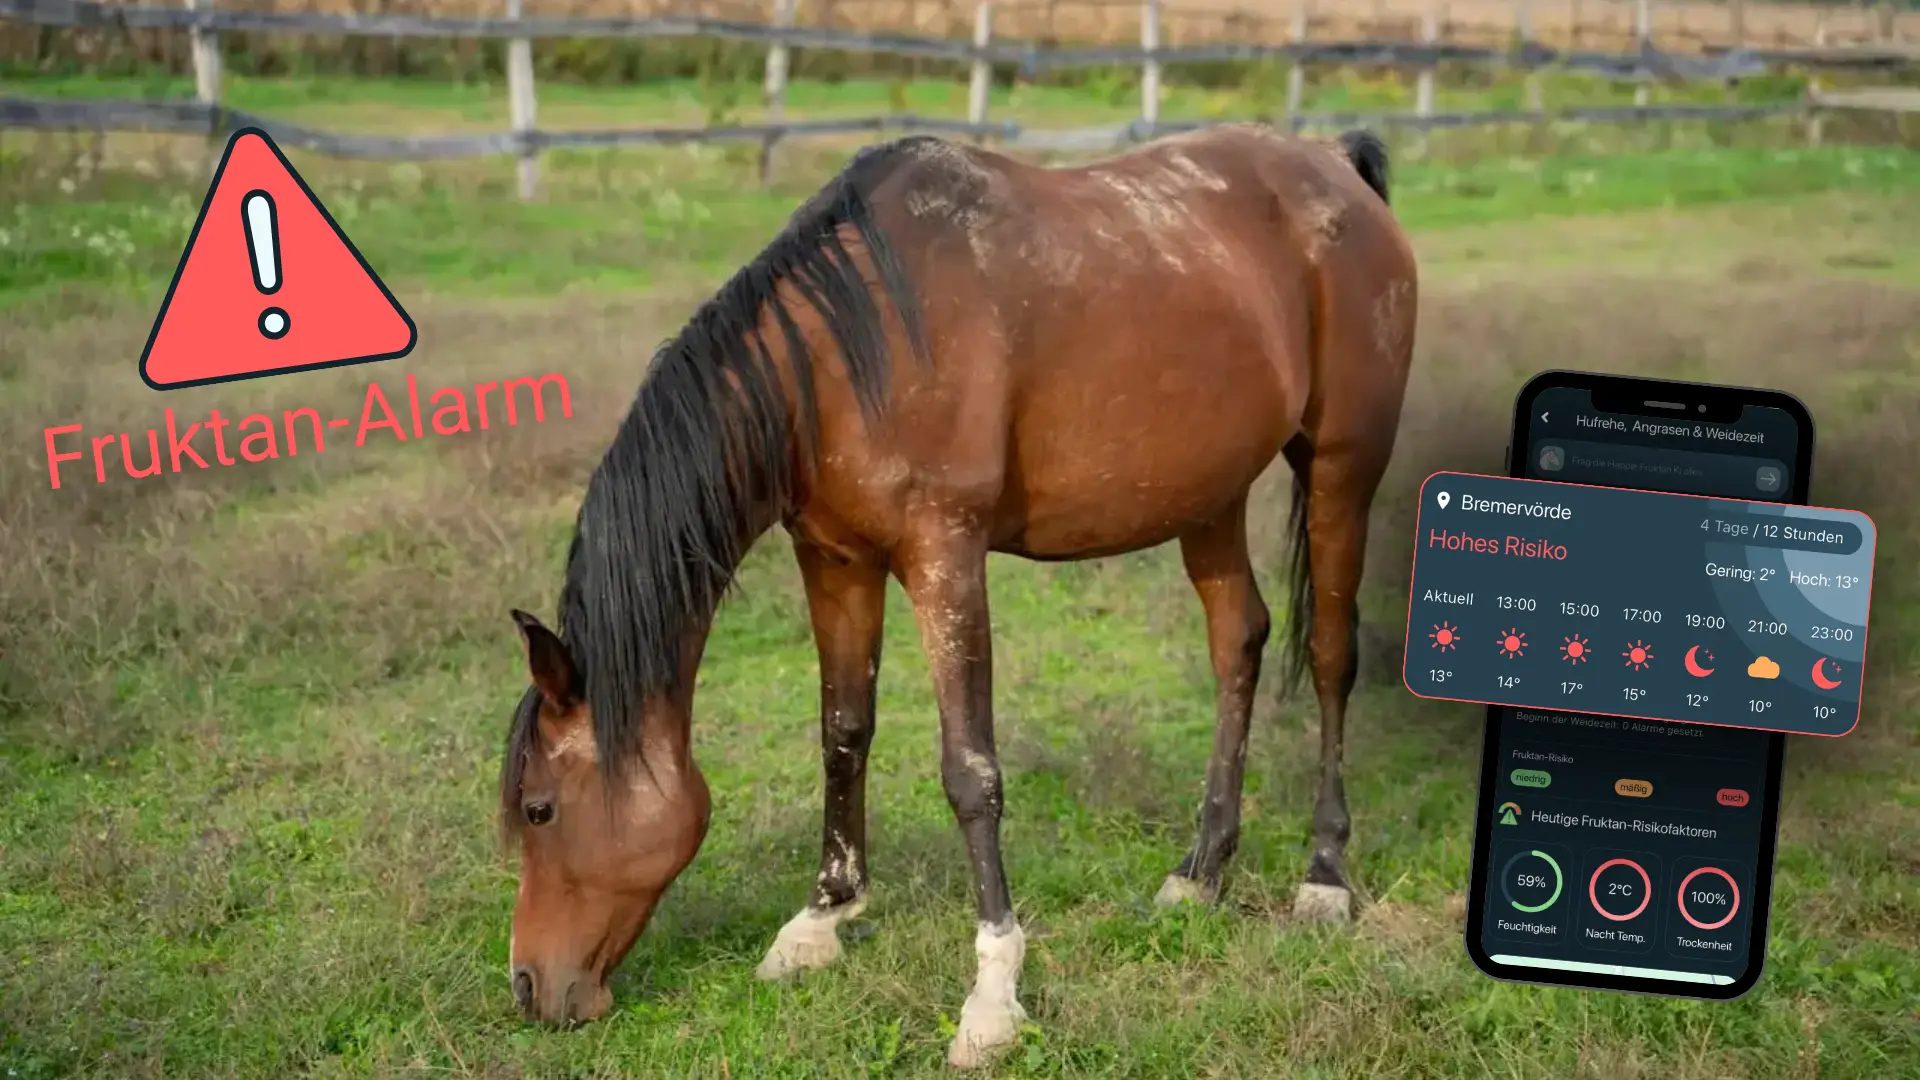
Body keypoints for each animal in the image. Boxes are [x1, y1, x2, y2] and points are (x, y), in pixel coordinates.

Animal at [497, 122, 1417, 1068]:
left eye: (538, 809)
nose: (530, 986)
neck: (841, 361)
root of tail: (1334, 164)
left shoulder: (946, 556)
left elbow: (970, 772)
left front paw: (994, 995)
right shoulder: (836, 559)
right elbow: (843, 734)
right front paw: (820, 920)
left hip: (1342, 465)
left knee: (1331, 655)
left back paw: (1323, 876)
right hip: (1209, 494)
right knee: (1239, 639)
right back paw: (1199, 874)